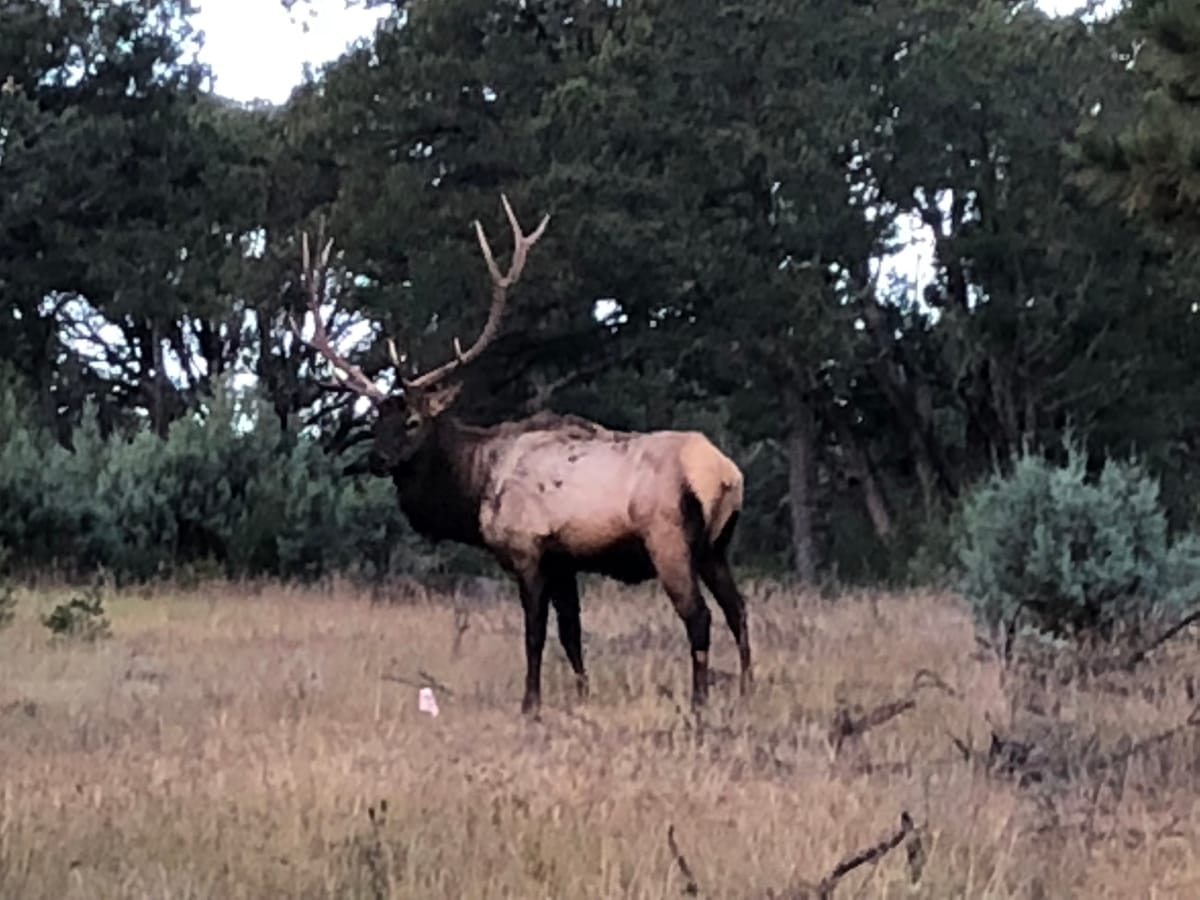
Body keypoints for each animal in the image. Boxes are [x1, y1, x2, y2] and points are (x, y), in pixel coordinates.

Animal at [288, 195, 748, 710]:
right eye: (374, 423)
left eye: (412, 422)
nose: (377, 460)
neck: (476, 487)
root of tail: (724, 473)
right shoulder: (565, 561)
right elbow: (571, 634)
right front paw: (581, 696)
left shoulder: (529, 550)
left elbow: (534, 634)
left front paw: (531, 704)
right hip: (717, 545)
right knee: (738, 609)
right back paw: (747, 688)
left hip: (669, 539)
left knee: (700, 616)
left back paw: (700, 700)